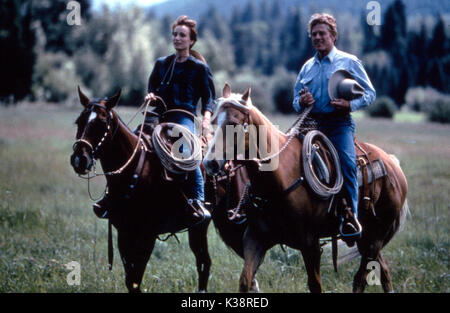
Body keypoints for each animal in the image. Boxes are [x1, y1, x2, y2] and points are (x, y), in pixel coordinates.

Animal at [69, 87, 212, 290]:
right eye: (79, 121)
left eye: (102, 123)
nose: (79, 159)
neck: (134, 169)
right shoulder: (123, 232)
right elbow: (131, 279)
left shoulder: (147, 234)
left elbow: (136, 277)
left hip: (200, 227)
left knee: (203, 263)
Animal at [204, 83, 408, 292]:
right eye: (214, 122)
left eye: (235, 123)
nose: (210, 163)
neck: (278, 179)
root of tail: (392, 164)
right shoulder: (255, 239)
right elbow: (246, 280)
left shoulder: (310, 245)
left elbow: (315, 284)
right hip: (367, 238)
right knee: (382, 271)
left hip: (375, 237)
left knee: (362, 277)